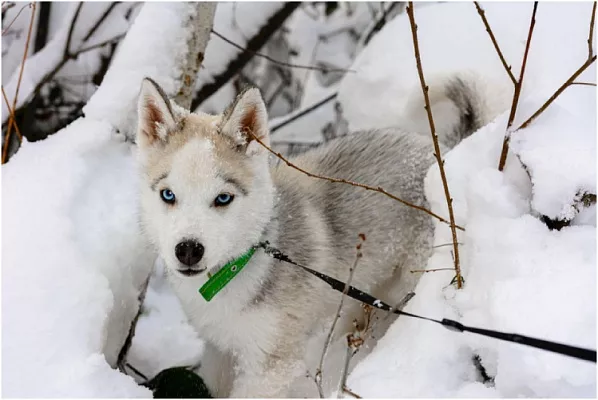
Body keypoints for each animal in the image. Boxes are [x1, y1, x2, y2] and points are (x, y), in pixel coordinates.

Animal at [136, 75, 496, 396]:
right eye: (168, 195)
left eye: (223, 198)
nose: (188, 250)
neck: (239, 267)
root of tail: (446, 151)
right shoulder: (220, 351)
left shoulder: (272, 366)